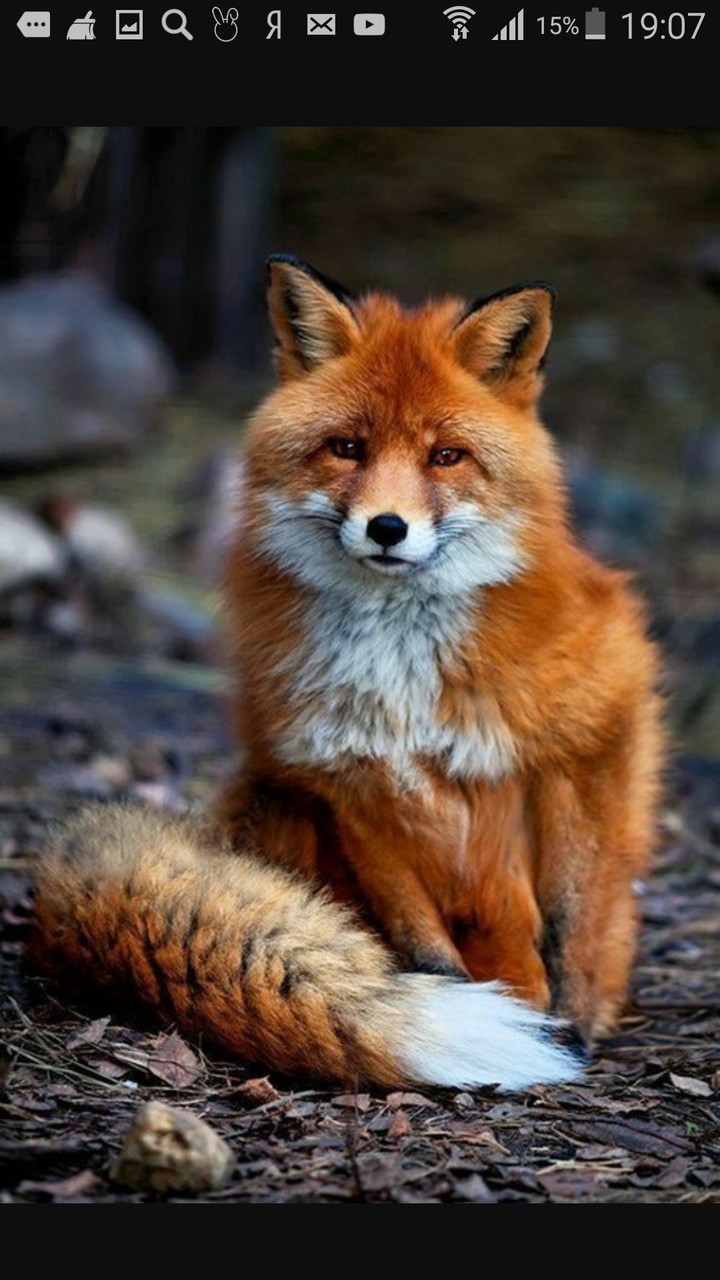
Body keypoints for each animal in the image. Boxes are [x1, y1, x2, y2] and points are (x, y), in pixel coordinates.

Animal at [30, 255, 664, 1093]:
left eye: (445, 456)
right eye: (348, 448)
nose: (388, 528)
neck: (401, 672)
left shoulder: (588, 732)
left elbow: (572, 916)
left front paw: (573, 1019)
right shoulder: (343, 781)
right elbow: (422, 943)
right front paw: (475, 1015)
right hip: (273, 800)